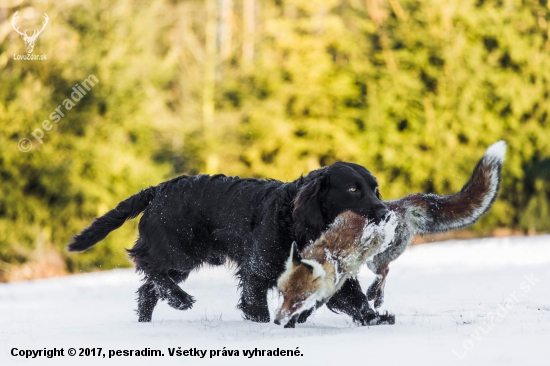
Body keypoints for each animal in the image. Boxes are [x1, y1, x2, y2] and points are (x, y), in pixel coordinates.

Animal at [68, 163, 392, 326]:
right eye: (353, 190)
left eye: (375, 189)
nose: (386, 212)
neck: (297, 224)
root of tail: (159, 189)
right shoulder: (256, 272)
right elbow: (255, 307)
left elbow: (354, 298)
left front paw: (375, 319)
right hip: (179, 254)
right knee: (146, 265)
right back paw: (180, 300)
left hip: (180, 262)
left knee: (147, 289)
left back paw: (147, 322)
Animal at [276, 140, 508, 326]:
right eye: (282, 294)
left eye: (298, 298)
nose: (278, 320)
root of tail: (398, 205)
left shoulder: (337, 283)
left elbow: (326, 302)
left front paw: (298, 319)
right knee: (384, 274)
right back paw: (376, 295)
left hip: (376, 258)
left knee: (384, 271)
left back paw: (375, 293)